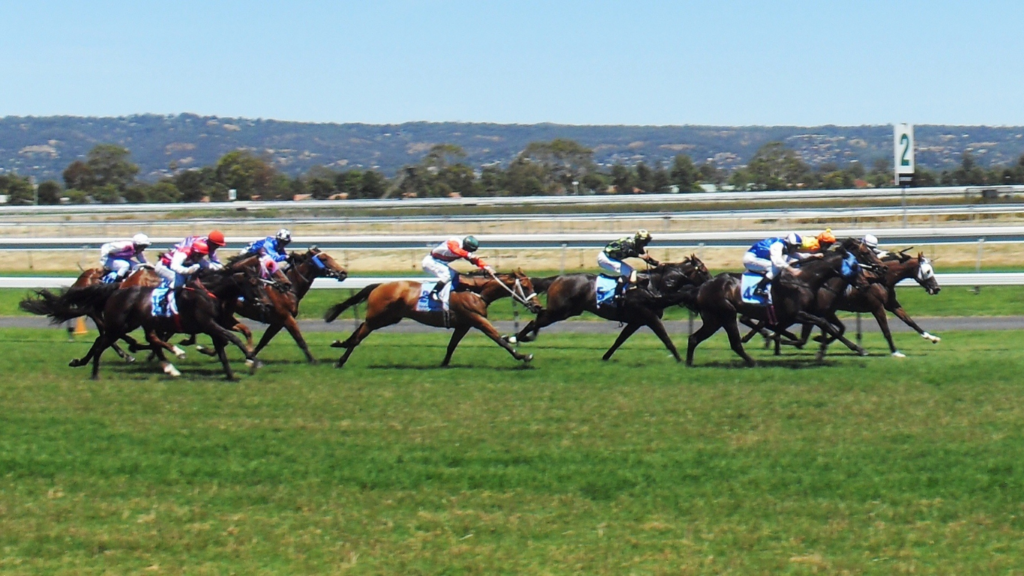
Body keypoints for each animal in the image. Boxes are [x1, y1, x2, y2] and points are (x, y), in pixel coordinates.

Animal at [323, 268, 544, 366]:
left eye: (532, 285)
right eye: (525, 286)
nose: (538, 306)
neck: (476, 291)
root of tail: (379, 285)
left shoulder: (463, 324)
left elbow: (451, 345)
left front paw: (444, 364)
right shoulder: (477, 320)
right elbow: (499, 339)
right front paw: (523, 356)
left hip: (389, 317)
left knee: (360, 328)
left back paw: (340, 344)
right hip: (379, 317)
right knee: (360, 334)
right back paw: (341, 359)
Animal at [505, 258, 708, 360]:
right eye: (704, 271)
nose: (711, 282)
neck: (654, 286)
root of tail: (557, 278)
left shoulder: (637, 321)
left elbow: (619, 340)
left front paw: (605, 357)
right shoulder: (649, 317)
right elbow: (666, 339)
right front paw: (680, 359)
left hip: (565, 311)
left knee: (538, 319)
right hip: (559, 311)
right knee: (535, 321)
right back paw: (514, 337)